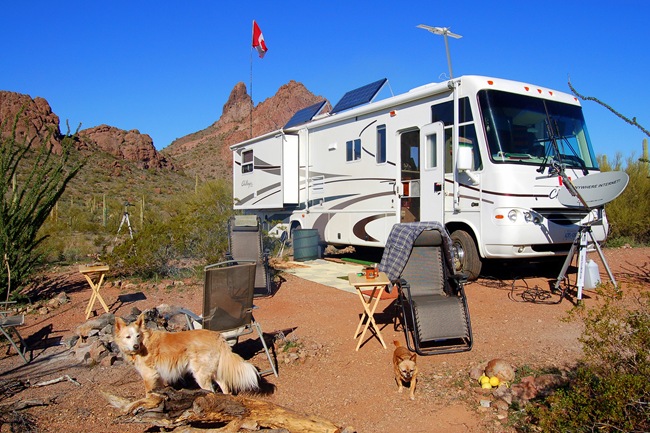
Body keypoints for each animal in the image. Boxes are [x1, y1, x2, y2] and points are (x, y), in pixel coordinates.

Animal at [114, 313, 260, 413]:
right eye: (128, 337)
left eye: (137, 336)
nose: (135, 346)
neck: (145, 343)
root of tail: (218, 336)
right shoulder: (157, 376)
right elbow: (158, 393)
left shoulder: (149, 376)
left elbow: (148, 395)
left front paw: (149, 405)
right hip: (214, 371)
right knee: (224, 387)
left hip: (201, 375)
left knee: (210, 392)